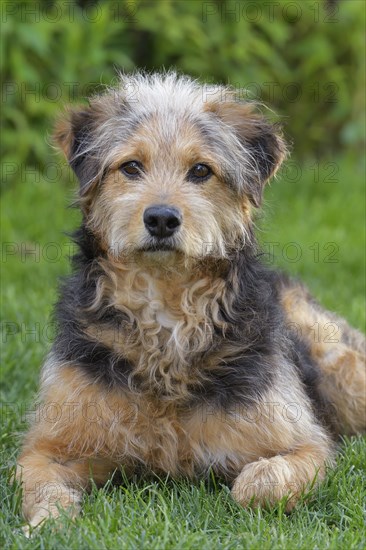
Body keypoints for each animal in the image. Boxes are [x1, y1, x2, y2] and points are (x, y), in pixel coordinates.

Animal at [17, 73, 366, 532]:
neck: (166, 310)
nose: (161, 219)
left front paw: (251, 486)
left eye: (201, 170)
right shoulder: (47, 446)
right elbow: (43, 487)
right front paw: (49, 523)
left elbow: (266, 479)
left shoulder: (305, 442)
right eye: (131, 167)